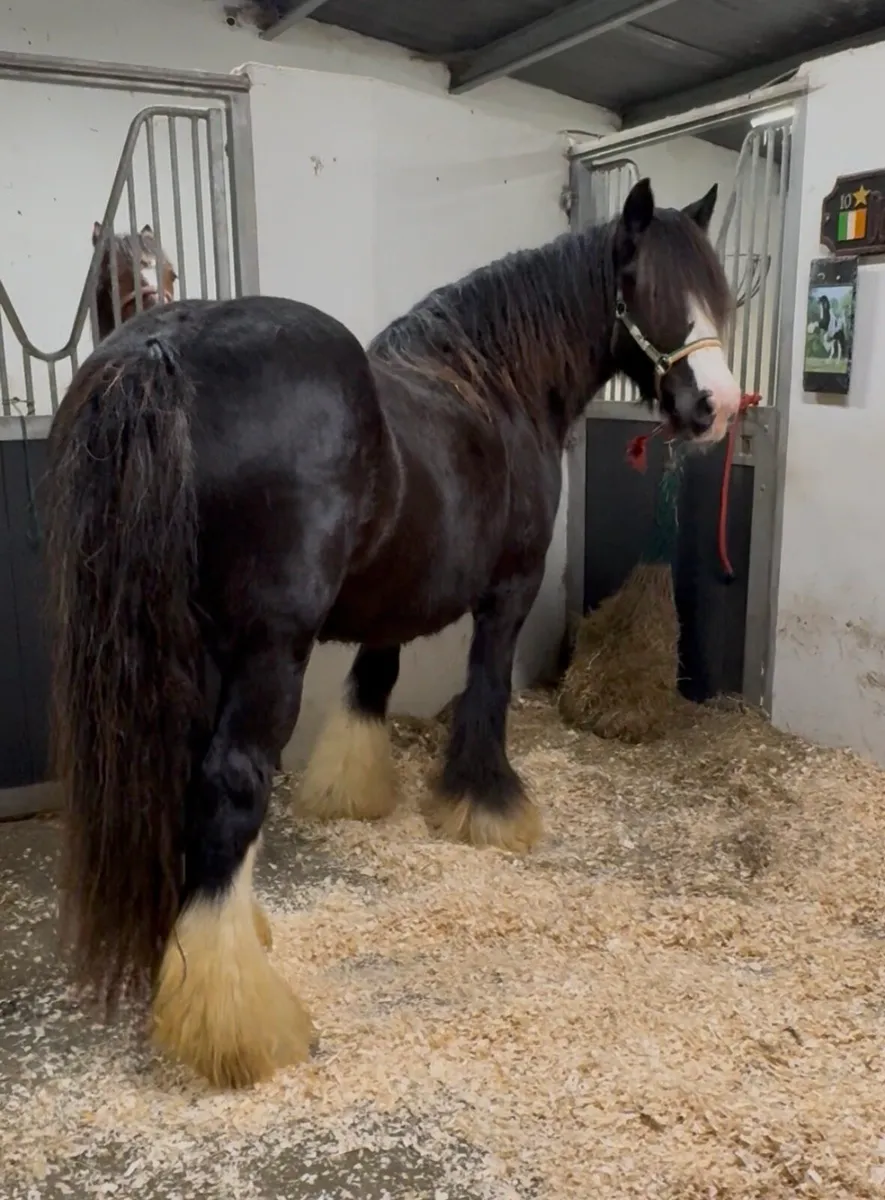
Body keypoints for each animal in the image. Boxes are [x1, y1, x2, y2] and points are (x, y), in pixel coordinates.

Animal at [45, 177, 741, 1091]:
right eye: (647, 285)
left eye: (715, 288)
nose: (717, 406)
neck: (491, 384)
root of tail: (162, 347)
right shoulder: (508, 592)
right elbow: (486, 693)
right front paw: (487, 806)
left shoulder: (394, 602)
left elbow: (371, 685)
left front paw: (357, 791)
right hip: (269, 647)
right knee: (231, 780)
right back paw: (236, 1020)